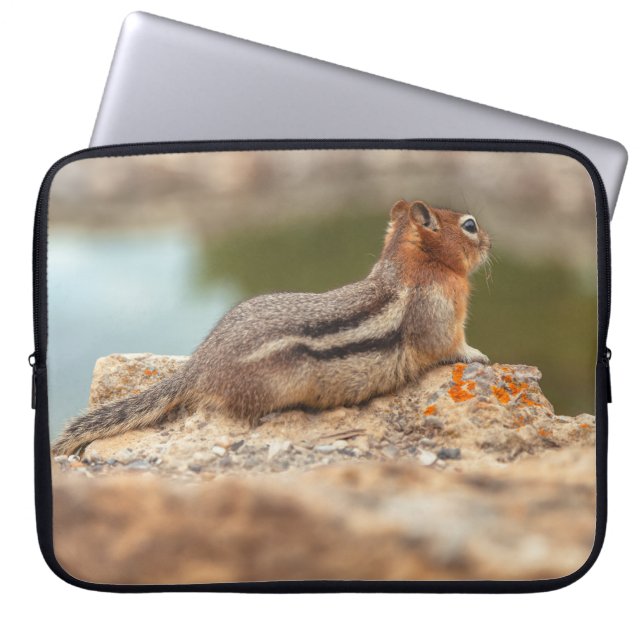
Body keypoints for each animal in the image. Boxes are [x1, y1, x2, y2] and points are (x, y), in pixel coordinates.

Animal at [53, 199, 491, 455]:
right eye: (470, 226)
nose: (489, 241)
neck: (416, 265)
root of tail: (200, 365)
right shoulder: (438, 316)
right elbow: (447, 345)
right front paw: (477, 355)